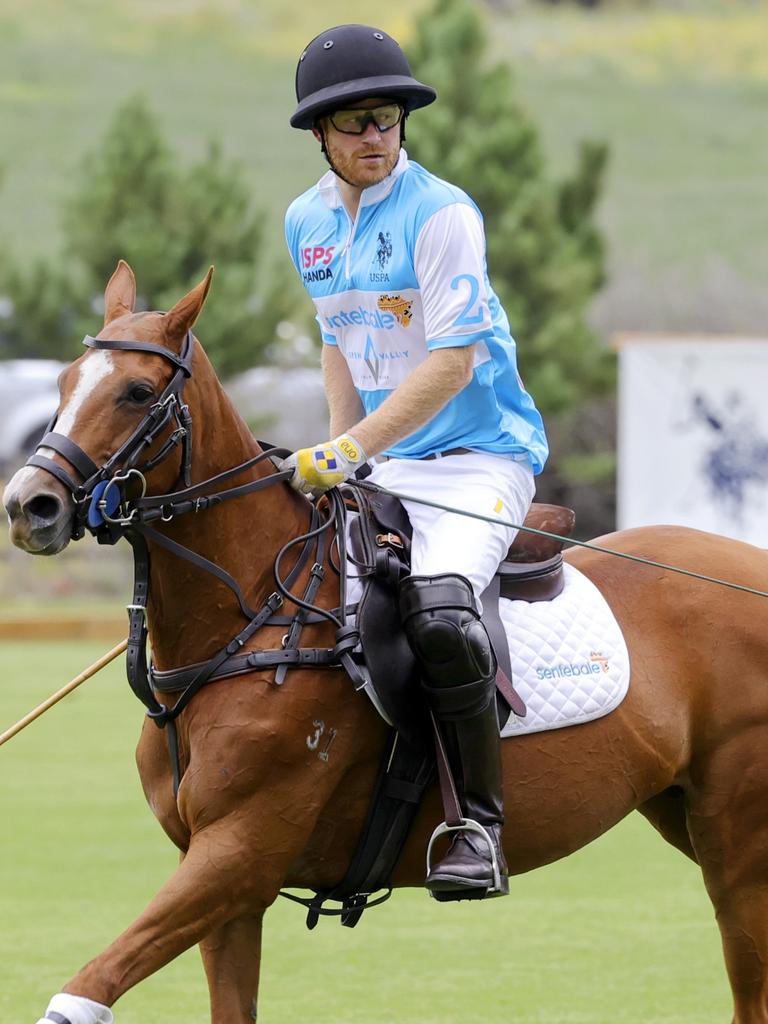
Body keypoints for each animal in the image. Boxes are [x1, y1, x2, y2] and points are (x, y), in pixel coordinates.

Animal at [4, 260, 768, 1019]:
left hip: (736, 834)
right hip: (680, 808)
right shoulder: (225, 886)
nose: (27, 505)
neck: (246, 626)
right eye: (65, 383)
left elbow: (90, 983)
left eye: (137, 392)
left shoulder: (240, 850)